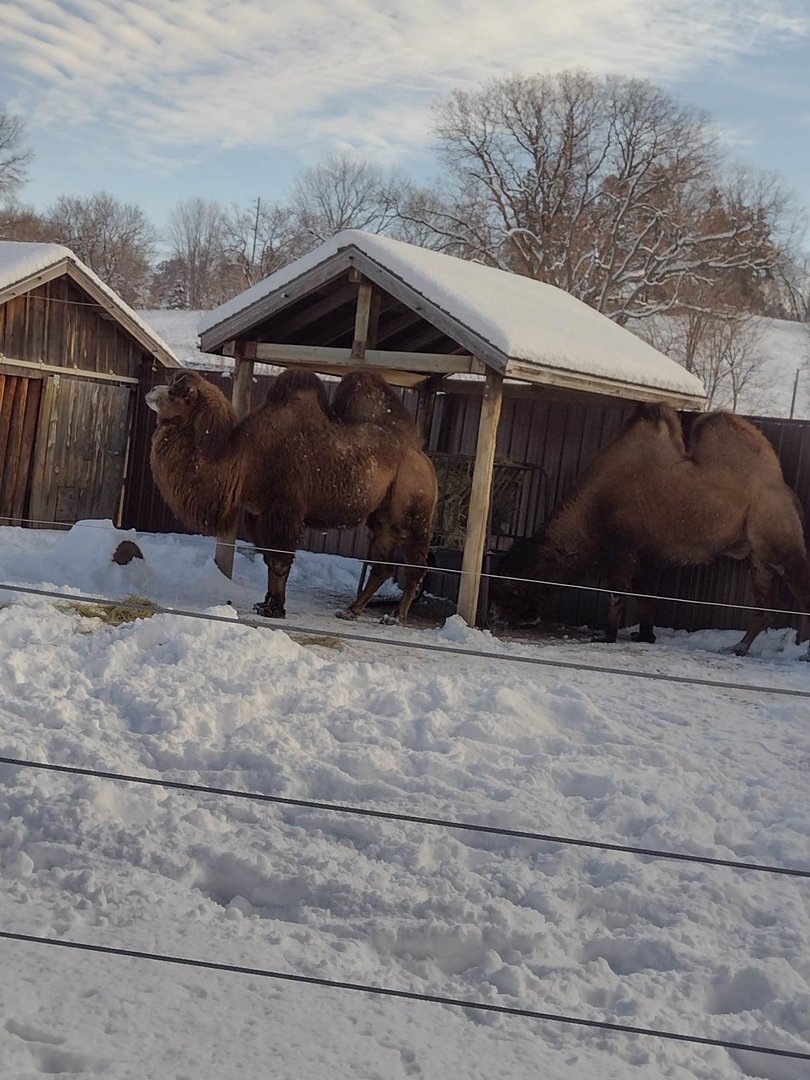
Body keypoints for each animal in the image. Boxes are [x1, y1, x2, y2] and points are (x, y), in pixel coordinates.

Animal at [146, 369, 438, 623]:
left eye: (174, 392)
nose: (150, 391)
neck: (241, 457)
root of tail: (422, 457)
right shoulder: (257, 514)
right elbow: (267, 557)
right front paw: (264, 603)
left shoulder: (284, 510)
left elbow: (279, 560)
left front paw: (274, 609)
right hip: (382, 518)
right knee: (382, 565)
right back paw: (350, 611)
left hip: (413, 513)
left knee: (416, 565)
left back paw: (395, 617)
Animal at [488, 404, 810, 658]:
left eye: (508, 590)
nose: (493, 614)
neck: (592, 508)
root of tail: (788, 493)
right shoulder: (646, 555)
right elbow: (647, 596)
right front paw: (645, 635)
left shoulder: (620, 552)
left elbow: (618, 595)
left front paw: (606, 635)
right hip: (760, 559)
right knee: (765, 608)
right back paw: (737, 648)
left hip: (782, 542)